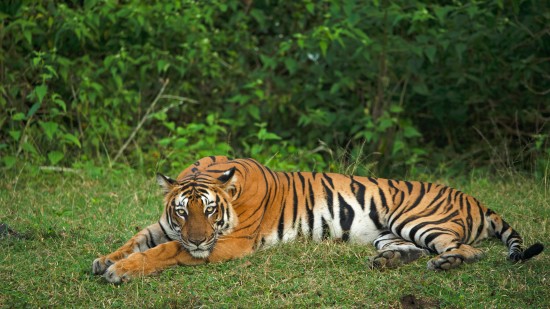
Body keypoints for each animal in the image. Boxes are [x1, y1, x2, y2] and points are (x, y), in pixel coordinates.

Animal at [92, 155, 544, 282]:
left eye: (210, 211)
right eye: (183, 212)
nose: (199, 240)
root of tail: (475, 199)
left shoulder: (229, 244)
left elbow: (165, 251)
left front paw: (119, 271)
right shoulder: (167, 226)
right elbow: (139, 238)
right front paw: (104, 259)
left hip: (417, 219)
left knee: (468, 250)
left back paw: (445, 263)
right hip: (388, 233)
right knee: (409, 250)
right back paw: (388, 262)